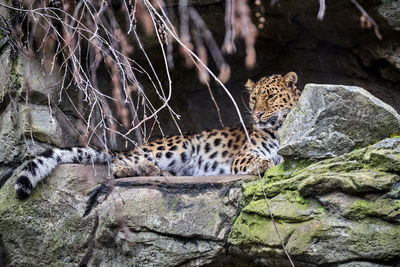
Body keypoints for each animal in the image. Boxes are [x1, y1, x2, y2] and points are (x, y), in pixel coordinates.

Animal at [14, 71, 300, 199]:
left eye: (270, 97)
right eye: (253, 99)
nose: (258, 114)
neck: (279, 127)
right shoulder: (242, 155)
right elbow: (255, 159)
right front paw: (263, 163)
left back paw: (152, 171)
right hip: (177, 147)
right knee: (118, 162)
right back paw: (134, 169)